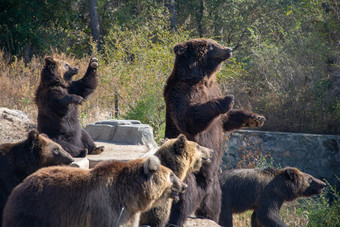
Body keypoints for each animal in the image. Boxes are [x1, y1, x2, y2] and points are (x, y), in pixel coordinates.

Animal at [164, 38, 266, 224]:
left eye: (215, 42)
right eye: (211, 45)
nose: (229, 49)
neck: (202, 78)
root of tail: (203, 192)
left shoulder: (213, 88)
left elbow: (226, 120)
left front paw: (256, 118)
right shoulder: (183, 93)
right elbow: (189, 116)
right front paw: (227, 99)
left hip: (216, 189)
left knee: (215, 207)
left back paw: (209, 216)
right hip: (190, 174)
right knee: (183, 198)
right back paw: (174, 219)